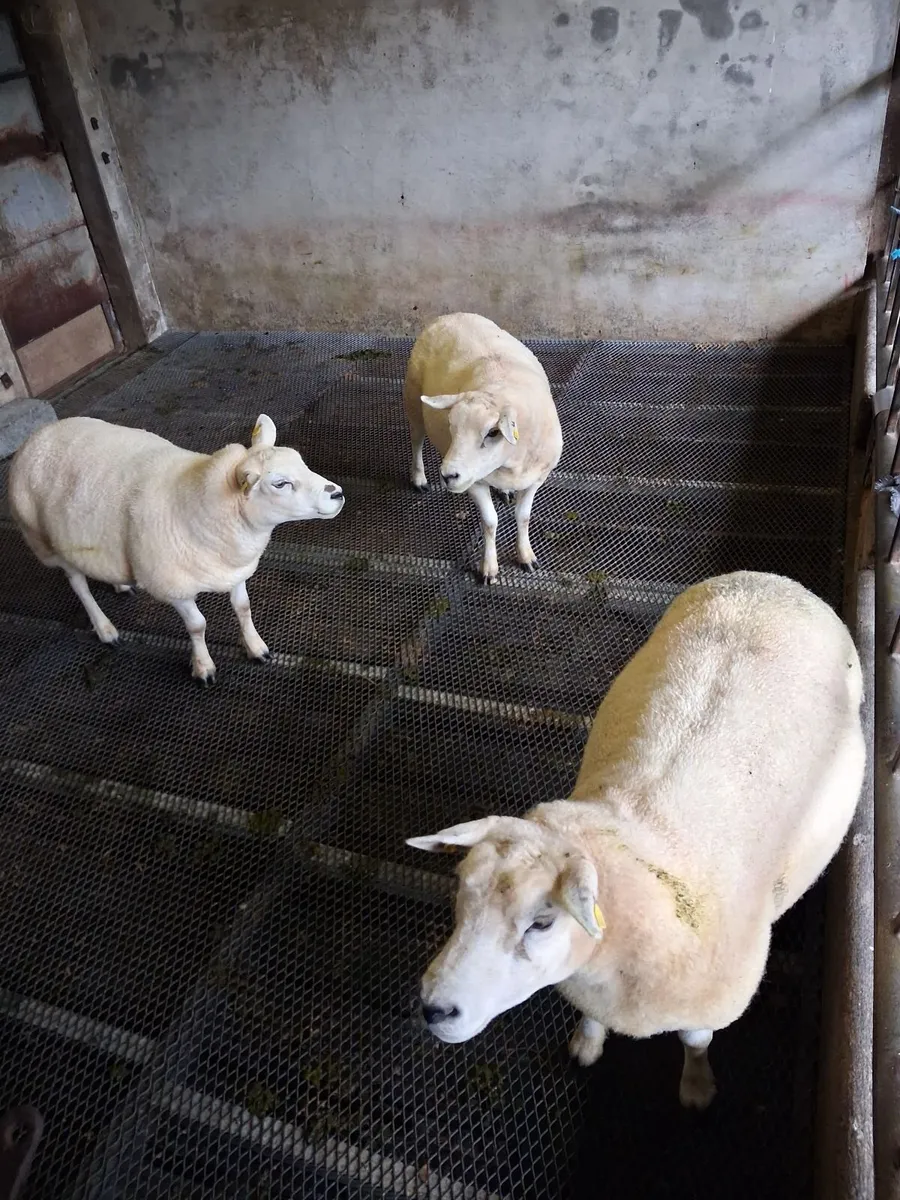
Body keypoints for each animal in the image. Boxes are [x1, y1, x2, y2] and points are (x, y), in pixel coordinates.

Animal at [8, 414, 344, 685]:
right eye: (280, 484)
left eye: (301, 462)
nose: (337, 494)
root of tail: (36, 436)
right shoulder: (173, 587)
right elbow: (197, 626)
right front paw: (203, 667)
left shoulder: (233, 570)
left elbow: (243, 608)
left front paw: (256, 648)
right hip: (45, 541)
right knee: (78, 584)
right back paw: (105, 629)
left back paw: (120, 584)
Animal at [403, 313, 563, 584]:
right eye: (451, 426)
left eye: (493, 432)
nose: (448, 475)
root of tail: (451, 315)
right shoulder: (475, 482)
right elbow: (490, 522)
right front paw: (488, 568)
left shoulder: (536, 479)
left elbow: (524, 517)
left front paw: (526, 556)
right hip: (414, 400)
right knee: (416, 441)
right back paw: (419, 478)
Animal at [407, 571, 865, 1108]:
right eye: (462, 888)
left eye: (542, 923)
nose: (434, 1009)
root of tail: (773, 581)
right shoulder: (597, 989)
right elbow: (594, 1018)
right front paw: (587, 1043)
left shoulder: (704, 1005)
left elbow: (695, 1040)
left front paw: (696, 1085)